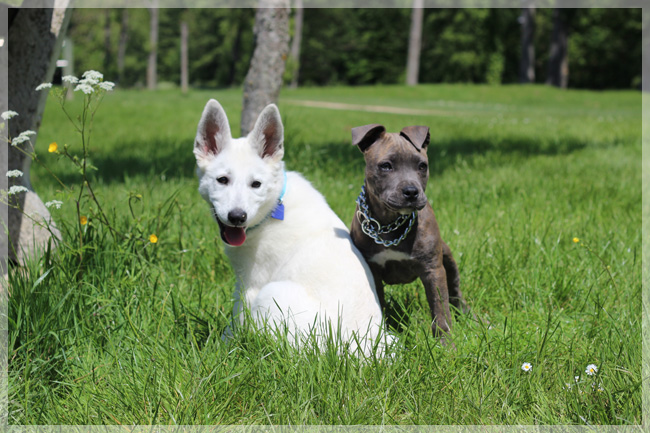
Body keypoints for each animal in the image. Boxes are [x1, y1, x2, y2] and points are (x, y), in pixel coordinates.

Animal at [194, 98, 390, 354]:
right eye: (222, 180)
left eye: (256, 184)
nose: (237, 217)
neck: (273, 207)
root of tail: (356, 351)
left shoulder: (251, 285)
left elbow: (235, 325)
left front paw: (217, 351)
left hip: (272, 294)